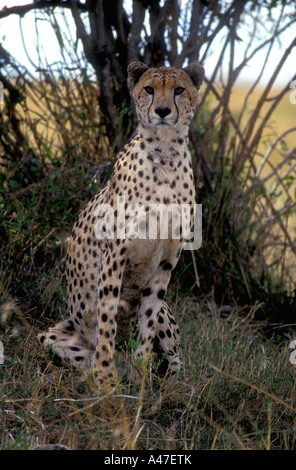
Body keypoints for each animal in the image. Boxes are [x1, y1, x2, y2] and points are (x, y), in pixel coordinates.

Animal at [38, 60, 205, 388]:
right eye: (149, 89)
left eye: (179, 90)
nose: (163, 111)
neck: (166, 154)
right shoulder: (115, 256)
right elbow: (106, 321)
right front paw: (106, 380)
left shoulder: (165, 264)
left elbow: (147, 325)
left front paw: (141, 381)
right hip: (51, 335)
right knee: (80, 351)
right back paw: (104, 374)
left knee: (174, 358)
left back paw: (164, 383)